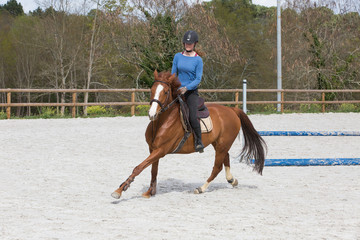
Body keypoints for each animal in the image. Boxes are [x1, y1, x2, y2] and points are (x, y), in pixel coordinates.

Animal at [111, 70, 266, 200]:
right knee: (226, 159)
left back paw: (201, 188)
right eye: (152, 90)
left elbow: (139, 167)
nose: (152, 114)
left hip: (223, 144)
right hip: (219, 143)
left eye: (166, 92)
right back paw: (232, 180)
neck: (163, 121)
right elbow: (153, 170)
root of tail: (232, 110)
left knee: (217, 167)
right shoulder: (153, 149)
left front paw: (119, 190)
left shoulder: (161, 150)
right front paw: (150, 192)